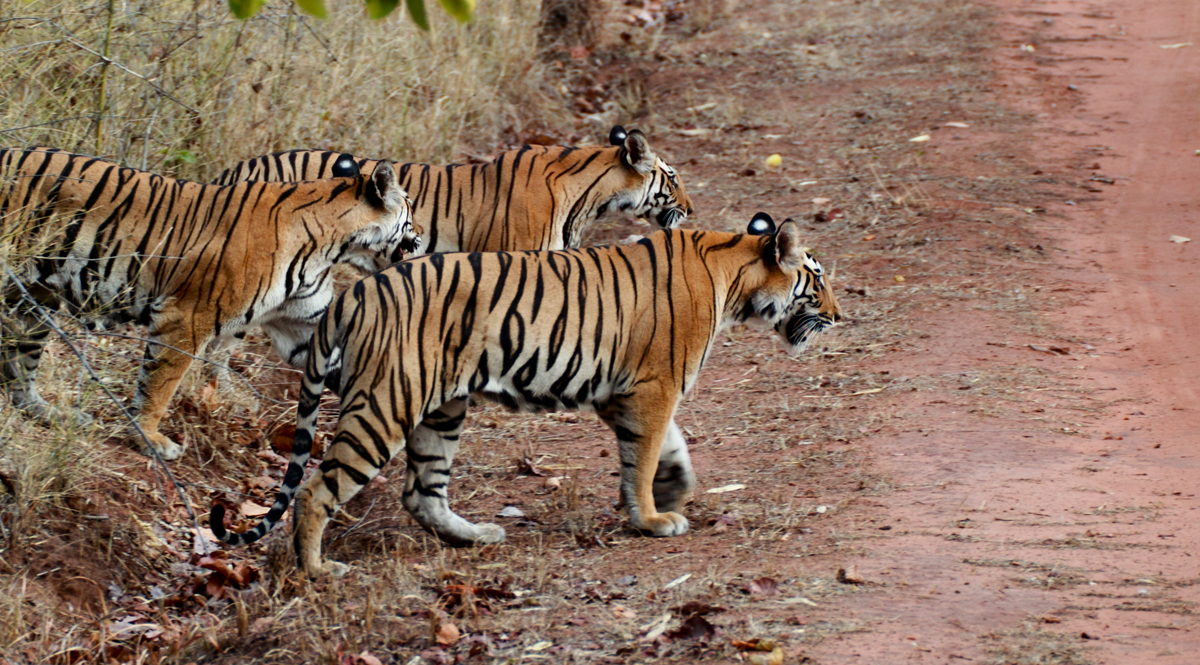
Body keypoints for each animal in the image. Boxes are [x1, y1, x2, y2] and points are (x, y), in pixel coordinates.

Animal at [0, 147, 422, 458]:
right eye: (411, 207)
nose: (421, 235)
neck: (334, 245)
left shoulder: (303, 329)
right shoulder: (186, 318)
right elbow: (159, 385)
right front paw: (150, 440)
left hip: (35, 300)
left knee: (20, 369)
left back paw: (50, 413)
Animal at [208, 210, 844, 571]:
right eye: (817, 279)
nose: (841, 316)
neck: (733, 274)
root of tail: (354, 294)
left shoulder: (622, 393)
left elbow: (665, 448)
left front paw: (672, 489)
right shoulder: (654, 387)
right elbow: (644, 455)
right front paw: (651, 519)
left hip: (442, 409)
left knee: (421, 492)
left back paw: (476, 536)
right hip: (386, 406)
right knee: (318, 490)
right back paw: (317, 571)